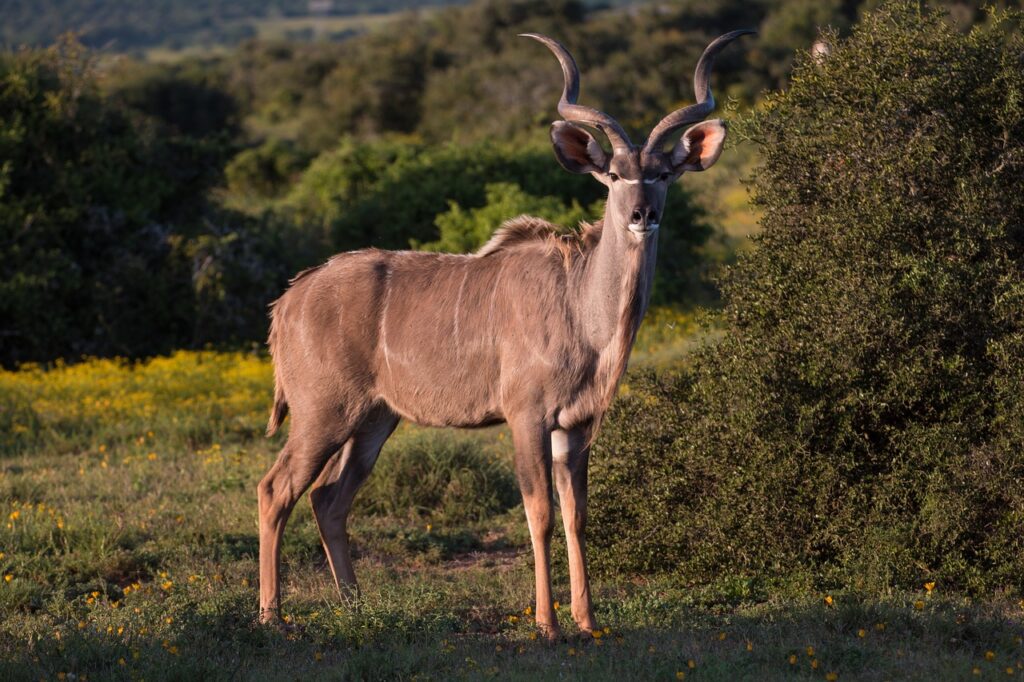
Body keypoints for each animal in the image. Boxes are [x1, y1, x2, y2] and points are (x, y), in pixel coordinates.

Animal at [256, 29, 753, 638]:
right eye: (613, 174)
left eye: (663, 173)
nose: (642, 215)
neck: (581, 307)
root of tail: (287, 301)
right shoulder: (526, 417)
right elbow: (539, 514)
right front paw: (548, 624)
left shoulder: (575, 426)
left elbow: (577, 515)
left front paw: (588, 620)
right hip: (323, 414)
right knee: (276, 489)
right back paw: (272, 617)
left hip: (374, 420)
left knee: (328, 498)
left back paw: (357, 610)